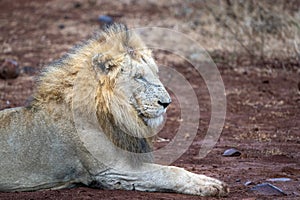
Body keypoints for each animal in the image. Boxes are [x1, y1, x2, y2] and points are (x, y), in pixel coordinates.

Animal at [0, 23, 229, 197]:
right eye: (139, 77)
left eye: (155, 73)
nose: (167, 103)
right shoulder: (112, 170)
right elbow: (169, 172)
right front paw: (210, 185)